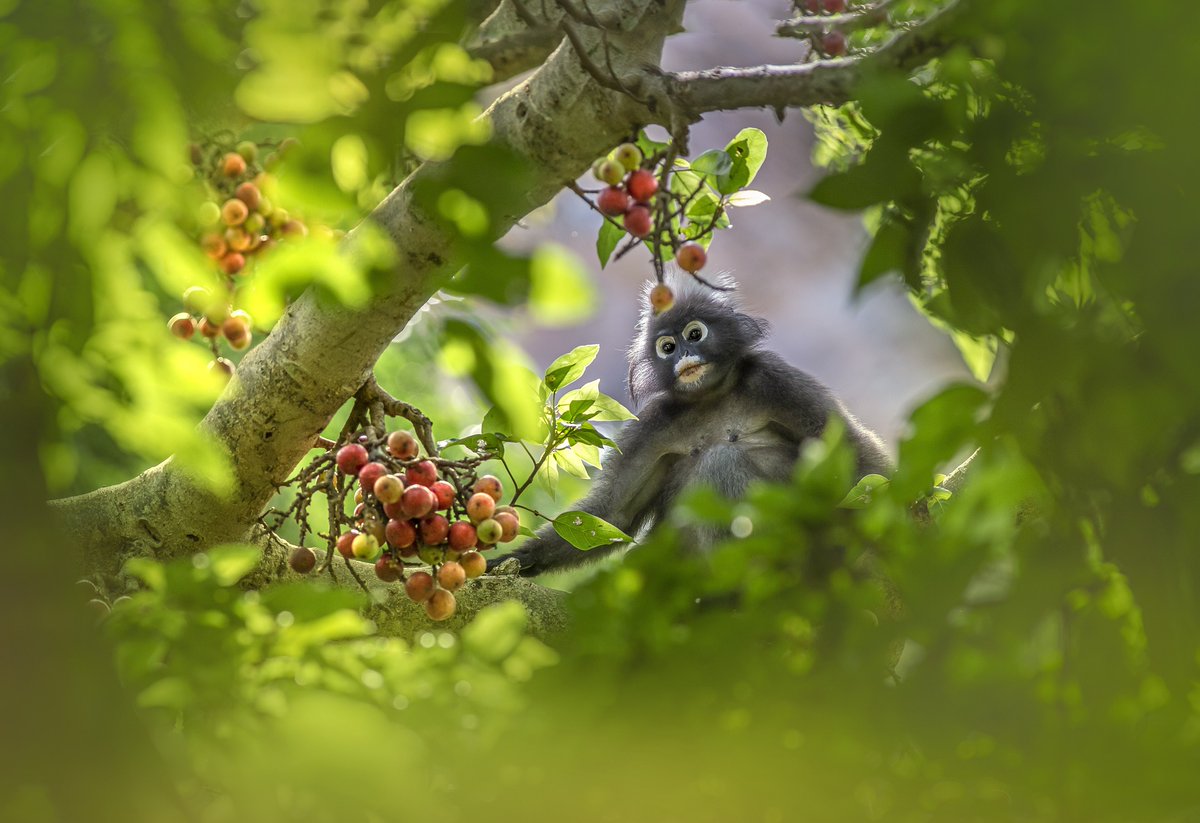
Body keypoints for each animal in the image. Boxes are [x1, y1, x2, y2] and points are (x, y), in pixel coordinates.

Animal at [487, 275, 892, 580]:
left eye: (694, 334)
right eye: (667, 346)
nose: (683, 355)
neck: (711, 396)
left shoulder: (776, 381)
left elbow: (855, 451)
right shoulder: (653, 423)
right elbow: (612, 514)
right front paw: (506, 563)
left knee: (721, 460)